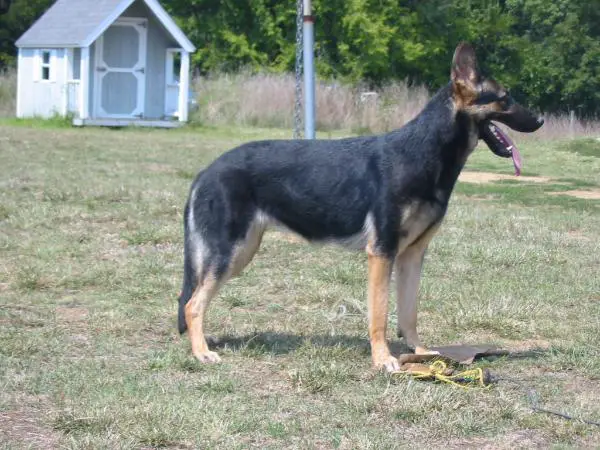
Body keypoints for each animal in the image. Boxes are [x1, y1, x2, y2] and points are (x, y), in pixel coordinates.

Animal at [177, 42, 544, 372]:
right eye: (505, 98)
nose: (540, 119)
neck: (426, 153)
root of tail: (207, 170)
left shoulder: (412, 256)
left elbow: (409, 312)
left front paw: (420, 353)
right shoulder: (381, 253)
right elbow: (379, 312)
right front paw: (383, 359)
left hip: (241, 253)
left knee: (196, 299)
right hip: (231, 252)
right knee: (193, 304)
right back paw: (201, 352)